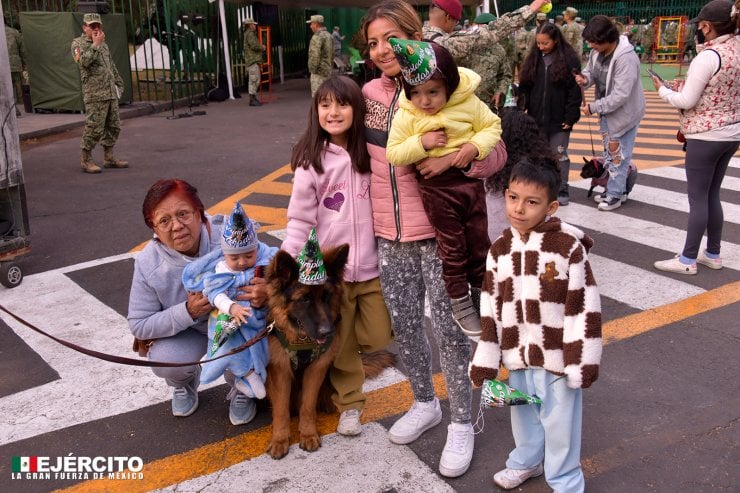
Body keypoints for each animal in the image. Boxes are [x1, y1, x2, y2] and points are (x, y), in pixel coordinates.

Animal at [264, 244, 394, 460]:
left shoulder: (316, 369)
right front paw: (280, 440)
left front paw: (308, 434)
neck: (302, 341)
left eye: (326, 297)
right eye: (305, 299)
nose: (328, 332)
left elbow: (308, 405)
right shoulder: (280, 370)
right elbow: (281, 409)